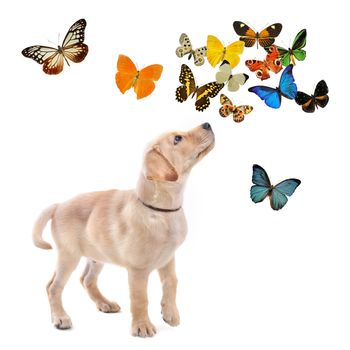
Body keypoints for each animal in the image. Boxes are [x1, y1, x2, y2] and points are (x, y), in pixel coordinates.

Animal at [32, 122, 213, 336]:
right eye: (177, 139)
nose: (207, 124)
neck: (161, 212)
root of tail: (59, 205)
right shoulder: (138, 269)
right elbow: (140, 298)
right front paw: (142, 326)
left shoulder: (168, 259)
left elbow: (171, 283)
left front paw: (170, 314)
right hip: (69, 256)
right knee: (53, 286)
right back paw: (60, 318)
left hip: (97, 256)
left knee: (86, 280)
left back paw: (105, 303)